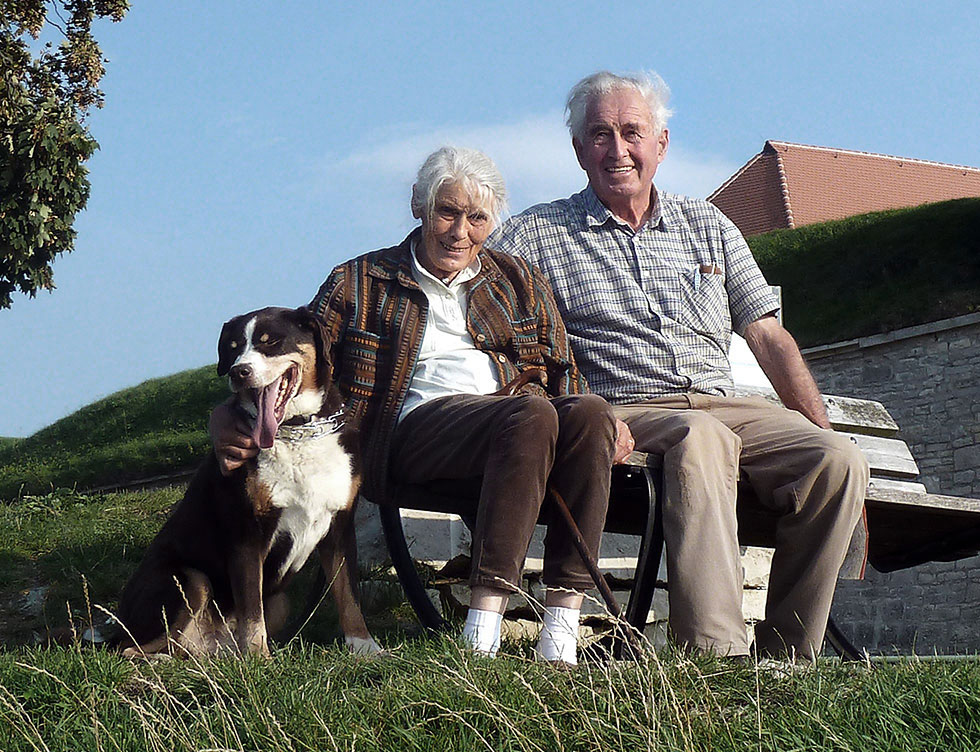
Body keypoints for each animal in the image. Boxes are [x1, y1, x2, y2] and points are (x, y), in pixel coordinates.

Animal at [112, 306, 378, 656]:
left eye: (270, 342)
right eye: (234, 347)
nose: (239, 372)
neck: (296, 432)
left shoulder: (340, 526)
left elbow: (348, 596)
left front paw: (365, 648)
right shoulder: (247, 533)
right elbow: (252, 612)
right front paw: (258, 659)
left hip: (279, 602)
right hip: (189, 579)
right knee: (130, 649)